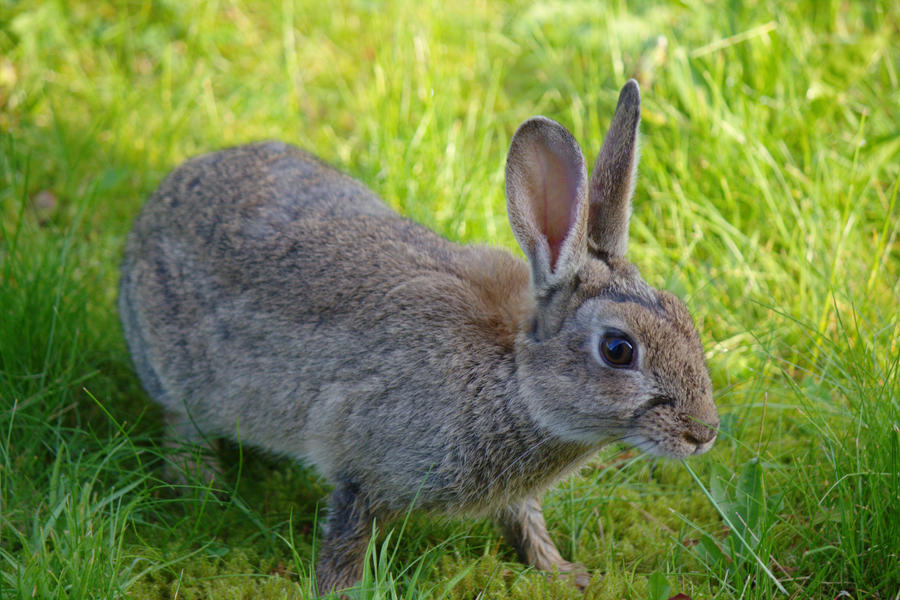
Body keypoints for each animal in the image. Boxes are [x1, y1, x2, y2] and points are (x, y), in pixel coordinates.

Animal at [121, 81, 716, 596]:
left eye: (683, 314)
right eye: (618, 350)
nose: (704, 432)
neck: (514, 376)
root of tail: (152, 212)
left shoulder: (512, 494)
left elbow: (525, 520)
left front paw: (561, 572)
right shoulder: (360, 462)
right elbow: (347, 536)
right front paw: (342, 591)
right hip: (178, 377)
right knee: (182, 427)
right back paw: (204, 491)